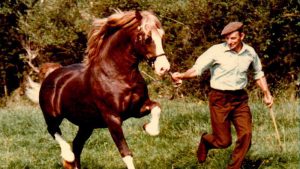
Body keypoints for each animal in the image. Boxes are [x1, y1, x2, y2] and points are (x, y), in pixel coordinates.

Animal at [39, 10, 170, 169]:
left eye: (162, 36)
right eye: (147, 38)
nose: (164, 68)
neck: (117, 75)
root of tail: (51, 75)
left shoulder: (137, 108)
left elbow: (157, 108)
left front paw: (148, 128)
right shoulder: (112, 118)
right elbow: (125, 153)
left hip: (86, 125)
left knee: (77, 145)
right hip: (52, 116)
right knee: (53, 131)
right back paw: (67, 155)